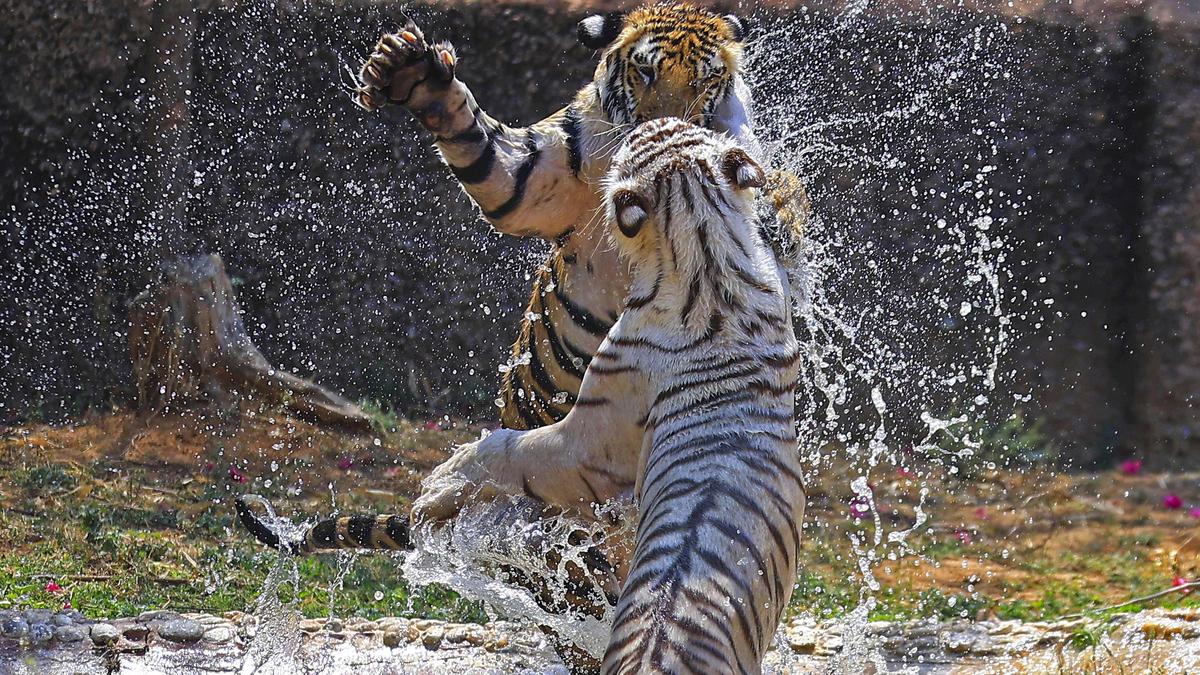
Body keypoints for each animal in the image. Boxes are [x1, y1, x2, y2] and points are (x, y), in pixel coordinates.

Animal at [410, 117, 806, 674]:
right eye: (680, 129)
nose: (649, 120)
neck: (708, 252)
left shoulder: (587, 442)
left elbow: (509, 450)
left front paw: (438, 486)